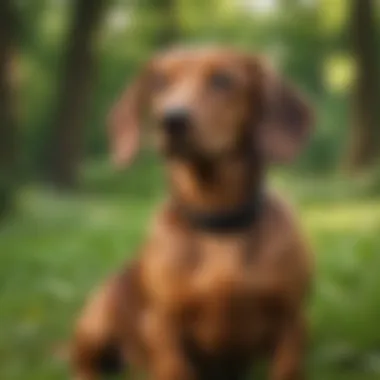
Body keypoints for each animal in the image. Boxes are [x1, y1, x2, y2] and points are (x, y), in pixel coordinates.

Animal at [71, 46, 314, 378]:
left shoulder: (291, 320)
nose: (172, 121)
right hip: (96, 324)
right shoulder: (165, 326)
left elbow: (287, 366)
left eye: (223, 80)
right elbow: (174, 367)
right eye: (161, 82)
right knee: (85, 364)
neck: (217, 221)